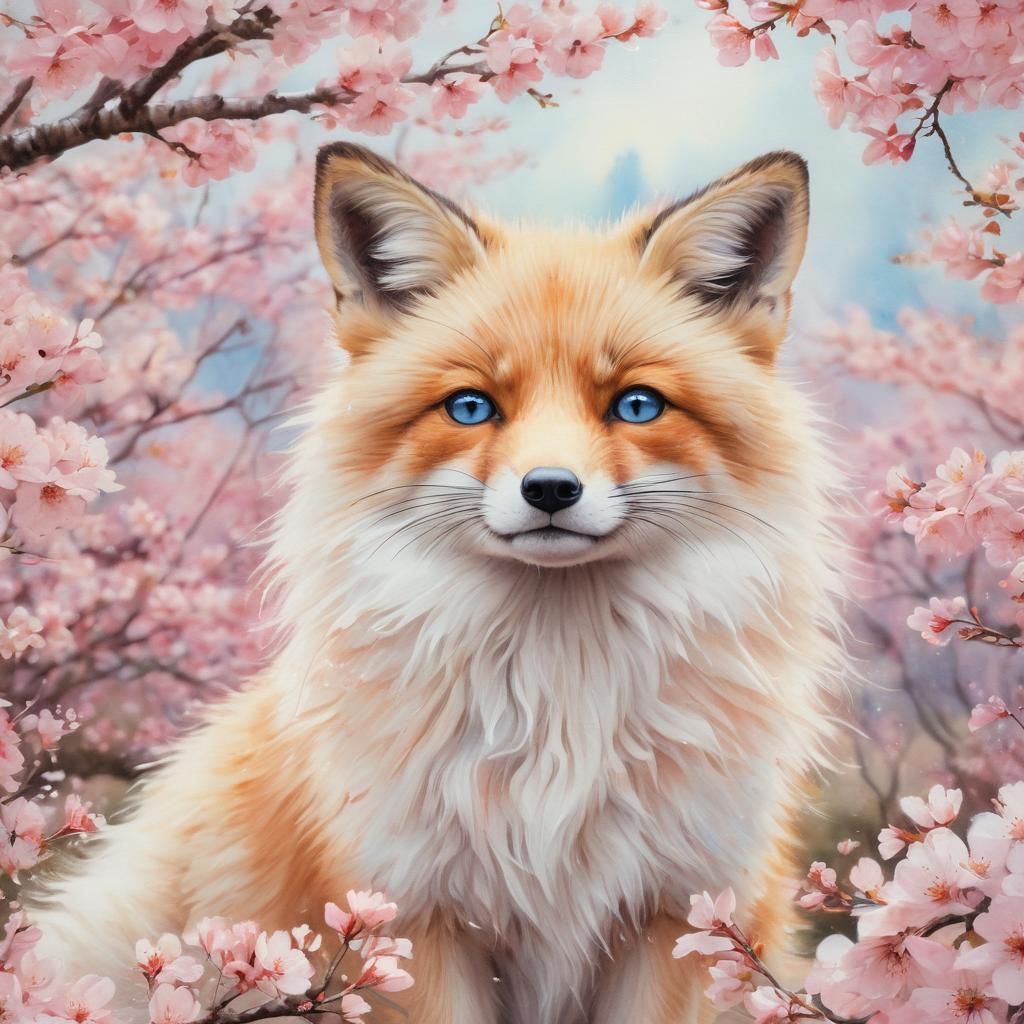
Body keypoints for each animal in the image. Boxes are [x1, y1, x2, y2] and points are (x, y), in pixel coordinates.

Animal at [35, 142, 845, 1024]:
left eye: (636, 405)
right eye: (470, 407)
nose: (550, 489)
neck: (559, 709)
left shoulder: (681, 915)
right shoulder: (402, 918)